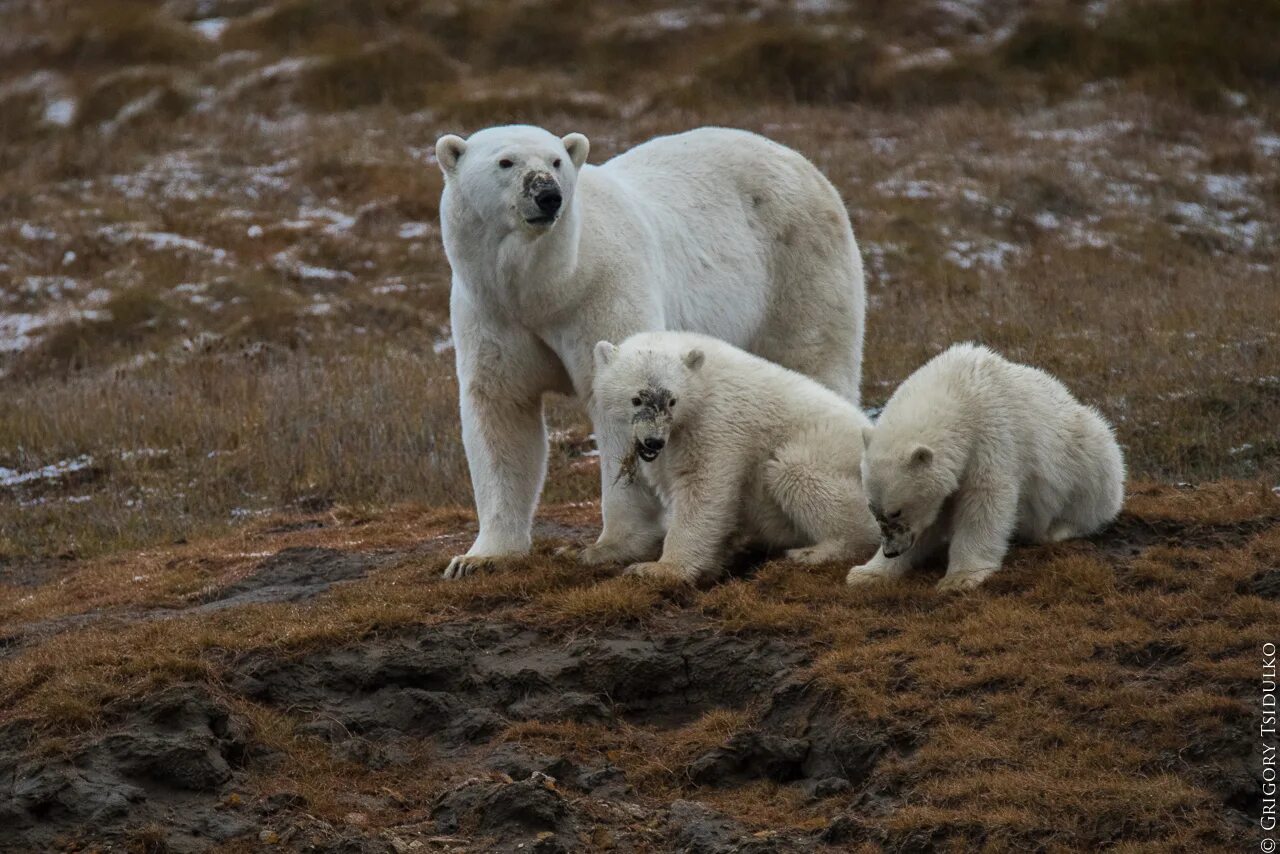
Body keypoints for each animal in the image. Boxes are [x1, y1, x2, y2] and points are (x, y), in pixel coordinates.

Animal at [588, 330, 880, 583]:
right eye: (636, 399)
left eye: (672, 400)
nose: (653, 441)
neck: (702, 378)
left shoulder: (714, 421)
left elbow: (702, 485)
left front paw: (658, 569)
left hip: (833, 458)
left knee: (796, 473)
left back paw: (813, 552)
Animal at [855, 343, 1126, 591]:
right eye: (872, 508)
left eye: (897, 512)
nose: (891, 551)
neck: (958, 390)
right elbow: (935, 516)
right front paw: (867, 573)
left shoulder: (991, 434)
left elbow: (984, 499)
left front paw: (960, 578)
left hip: (1083, 449)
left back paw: (1058, 528)